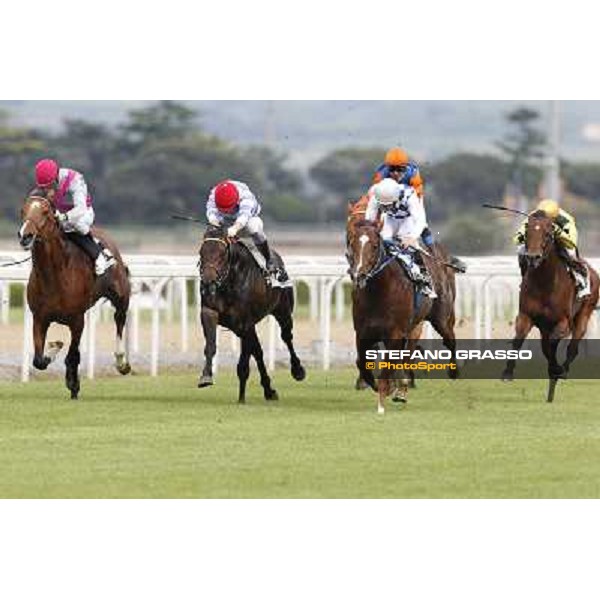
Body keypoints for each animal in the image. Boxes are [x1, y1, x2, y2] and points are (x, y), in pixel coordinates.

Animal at [18, 193, 131, 398]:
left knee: (119, 319)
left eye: (45, 212)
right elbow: (38, 360)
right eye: (23, 210)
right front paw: (54, 348)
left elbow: (72, 355)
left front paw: (73, 383)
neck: (53, 275)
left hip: (121, 297)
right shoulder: (40, 318)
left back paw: (121, 362)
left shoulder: (77, 320)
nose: (25, 236)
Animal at [199, 225, 308, 404]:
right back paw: (269, 390)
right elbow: (211, 346)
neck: (230, 281)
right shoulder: (210, 312)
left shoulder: (245, 323)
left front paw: (241, 398)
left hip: (283, 311)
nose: (208, 282)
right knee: (258, 351)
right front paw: (206, 376)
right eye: (202, 252)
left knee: (286, 337)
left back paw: (297, 370)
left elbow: (244, 362)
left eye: (222, 254)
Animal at [500, 211, 596, 404]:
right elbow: (519, 339)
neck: (545, 283)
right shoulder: (525, 315)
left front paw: (556, 369)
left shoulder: (563, 322)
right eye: (526, 232)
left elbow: (553, 345)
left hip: (584, 313)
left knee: (572, 347)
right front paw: (507, 372)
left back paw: (562, 370)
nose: (533, 257)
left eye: (547, 234)